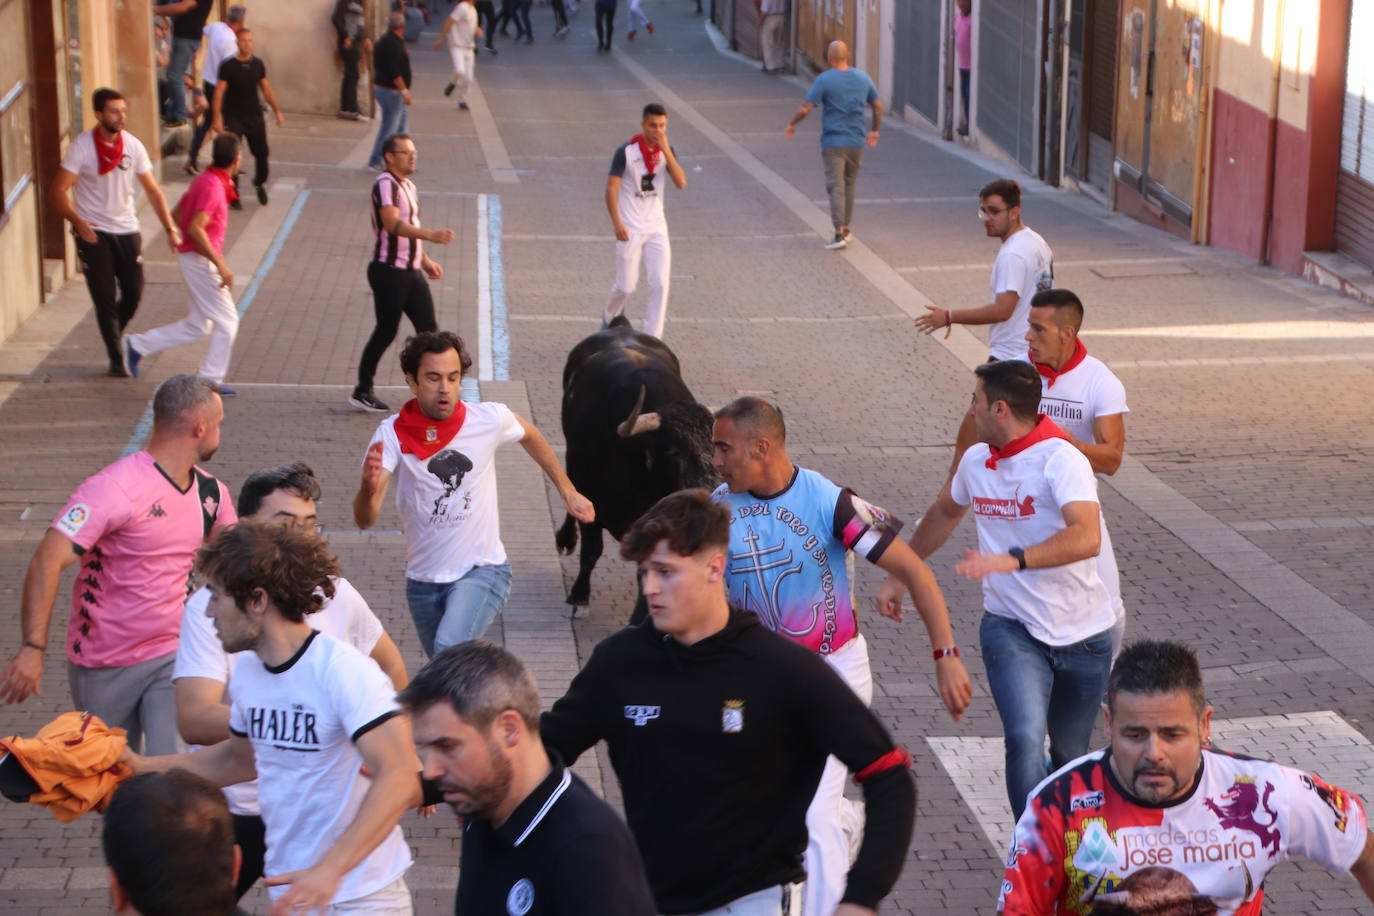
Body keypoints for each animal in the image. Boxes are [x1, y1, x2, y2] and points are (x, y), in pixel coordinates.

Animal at [555, 322, 719, 609]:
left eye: (716, 447)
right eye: (674, 450)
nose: (708, 488)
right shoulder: (590, 501)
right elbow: (591, 551)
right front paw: (579, 596)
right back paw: (565, 539)